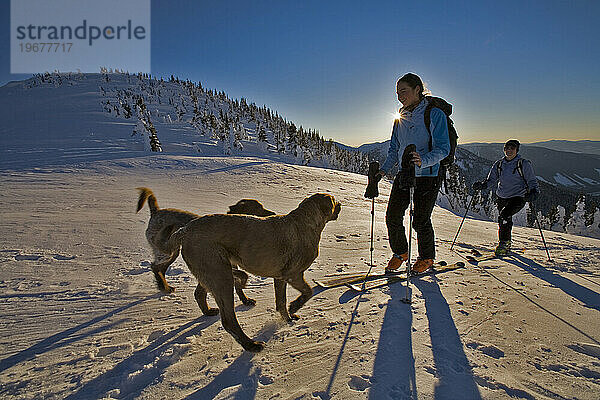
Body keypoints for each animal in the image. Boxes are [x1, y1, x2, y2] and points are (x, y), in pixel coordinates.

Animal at [136, 188, 274, 304]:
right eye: (258, 208)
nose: (273, 213)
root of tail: (156, 212)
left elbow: (238, 285)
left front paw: (245, 300)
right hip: (165, 252)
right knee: (155, 266)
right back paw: (163, 286)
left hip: (172, 252)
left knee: (161, 268)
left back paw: (165, 286)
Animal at [168, 194, 342, 354]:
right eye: (334, 200)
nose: (340, 204)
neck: (306, 222)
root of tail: (184, 231)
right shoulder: (294, 274)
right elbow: (308, 291)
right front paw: (294, 307)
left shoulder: (280, 278)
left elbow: (281, 301)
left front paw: (288, 319)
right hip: (220, 274)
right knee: (229, 320)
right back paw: (251, 345)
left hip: (212, 270)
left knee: (199, 293)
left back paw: (209, 311)